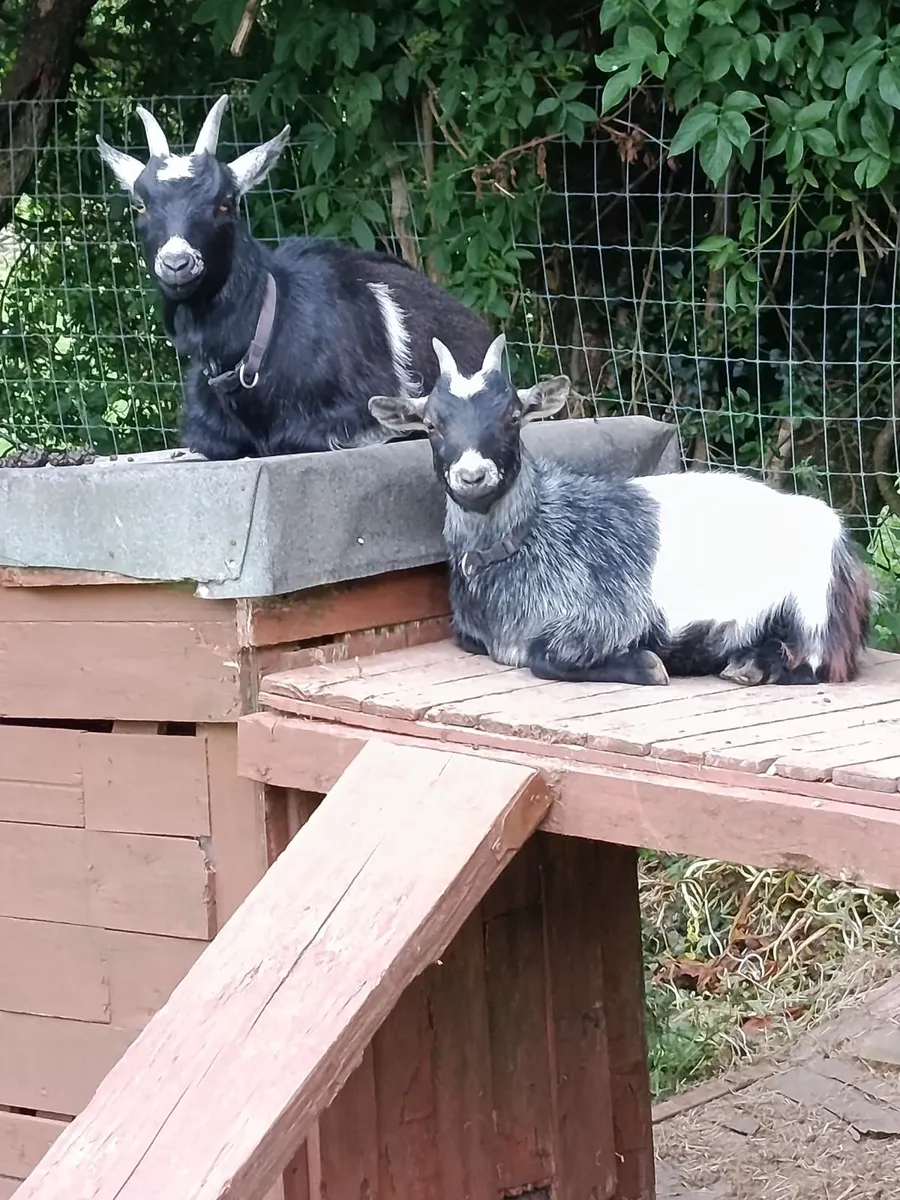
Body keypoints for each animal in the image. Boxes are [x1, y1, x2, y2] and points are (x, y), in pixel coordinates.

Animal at [369, 335, 873, 687]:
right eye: (431, 424)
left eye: (513, 417)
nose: (473, 476)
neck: (531, 536)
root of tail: (832, 529)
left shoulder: (609, 616)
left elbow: (544, 658)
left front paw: (647, 664)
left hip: (814, 606)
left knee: (820, 660)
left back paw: (747, 665)